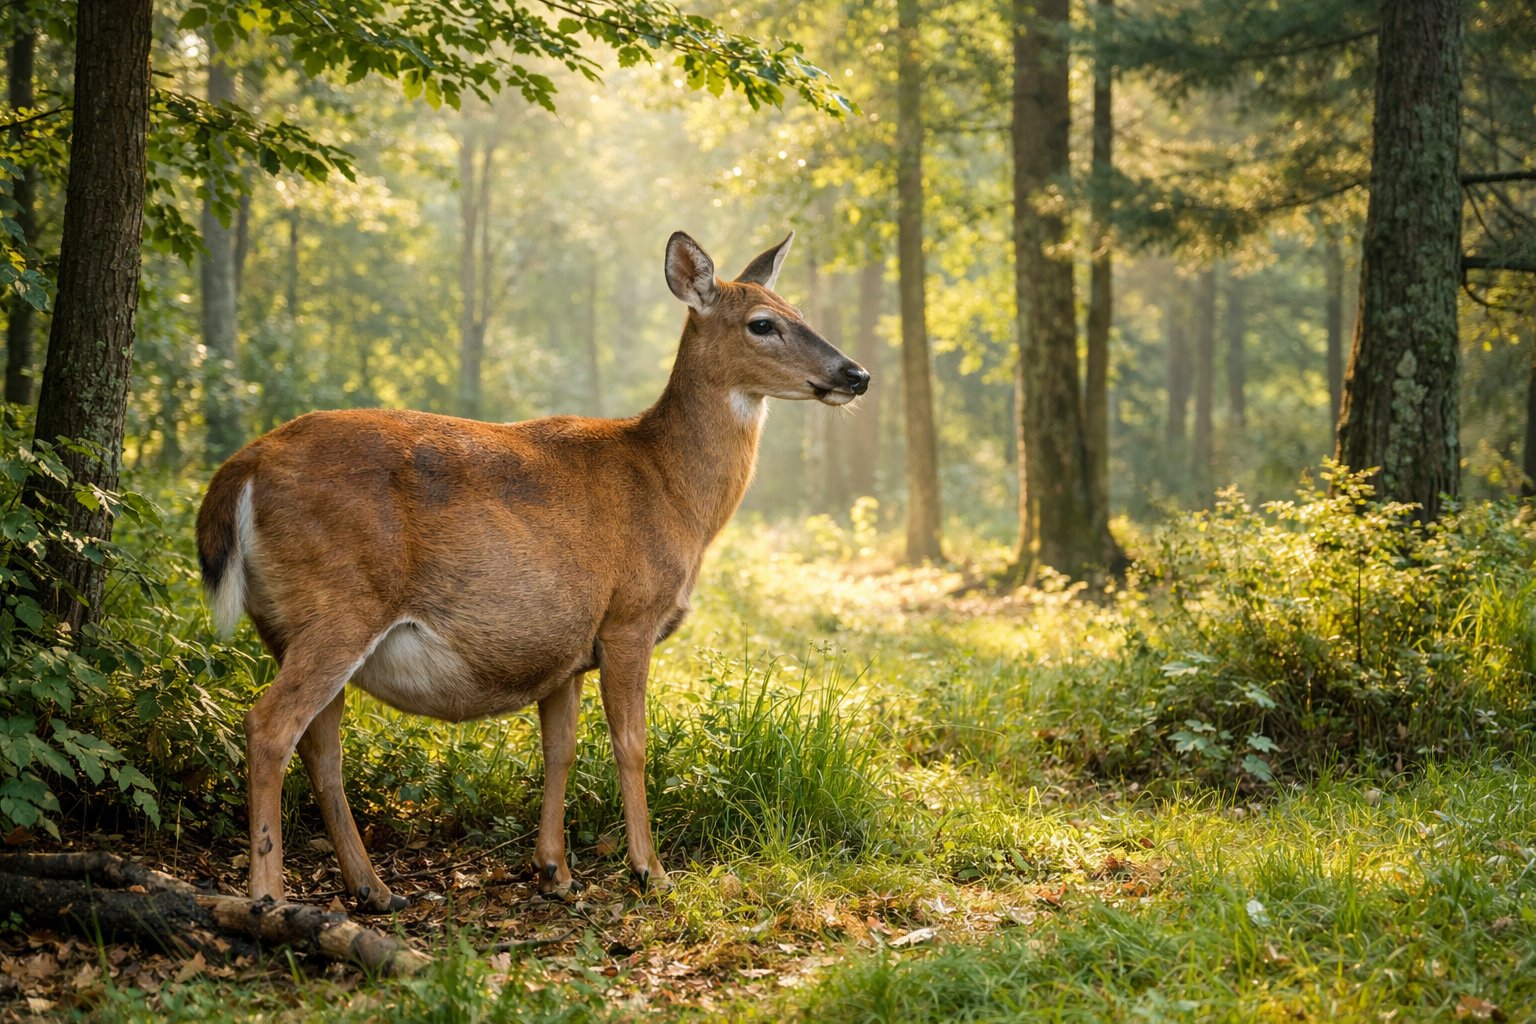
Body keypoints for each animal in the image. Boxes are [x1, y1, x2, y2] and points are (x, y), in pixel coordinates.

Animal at [196, 231, 870, 912]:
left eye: (799, 311)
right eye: (762, 323)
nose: (857, 374)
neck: (672, 490)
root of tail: (242, 468)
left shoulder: (567, 644)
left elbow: (560, 750)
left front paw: (555, 871)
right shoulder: (630, 616)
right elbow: (631, 744)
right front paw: (649, 871)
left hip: (292, 624)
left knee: (320, 744)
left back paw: (375, 888)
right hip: (341, 605)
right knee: (269, 726)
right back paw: (269, 897)